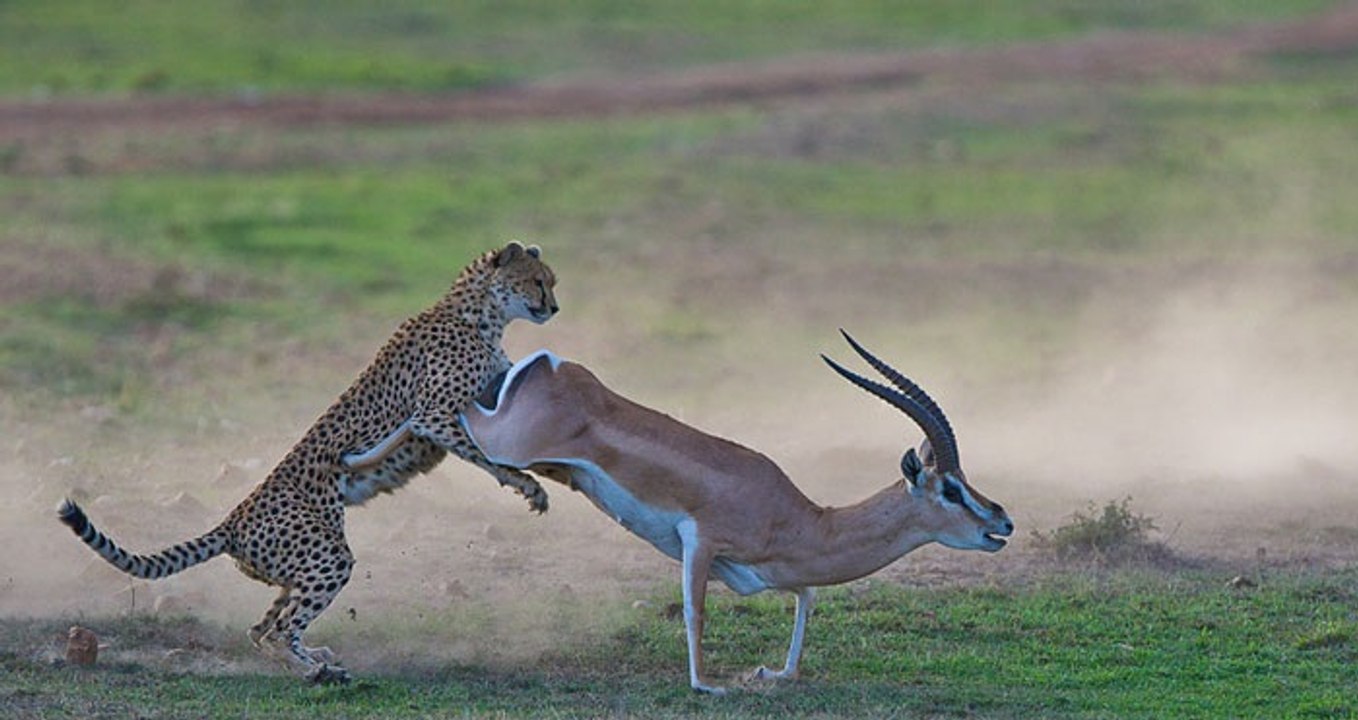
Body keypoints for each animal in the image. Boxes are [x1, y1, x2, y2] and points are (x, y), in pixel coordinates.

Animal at [57, 241, 558, 684]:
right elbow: (489, 456)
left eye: (550, 281)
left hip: (295, 568)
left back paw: (314, 658)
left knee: (259, 630)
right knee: (277, 632)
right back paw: (316, 673)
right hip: (326, 555)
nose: (553, 307)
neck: (478, 314)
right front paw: (528, 485)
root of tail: (231, 521)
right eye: (538, 281)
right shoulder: (432, 416)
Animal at [348, 331, 1014, 693]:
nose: (1002, 523)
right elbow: (695, 611)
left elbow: (807, 600)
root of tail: (550, 364)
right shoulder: (701, 541)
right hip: (505, 441)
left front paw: (774, 674)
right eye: (951, 490)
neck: (801, 518)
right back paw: (353, 462)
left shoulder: (766, 573)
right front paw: (706, 684)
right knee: (437, 414)